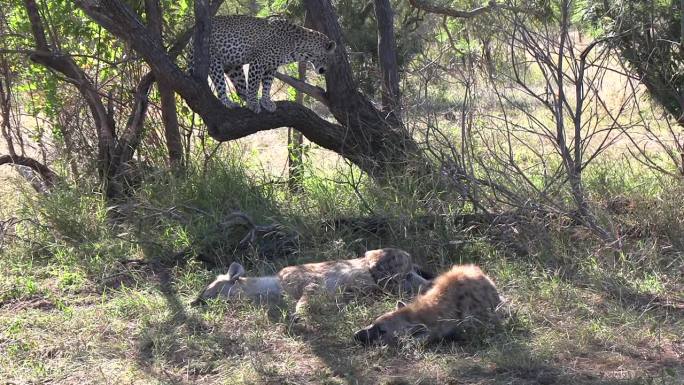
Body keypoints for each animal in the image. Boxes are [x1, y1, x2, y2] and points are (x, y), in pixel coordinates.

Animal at [190, 14, 334, 112]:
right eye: (328, 59)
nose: (325, 70)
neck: (300, 49)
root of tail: (192, 38)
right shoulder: (258, 62)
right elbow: (254, 85)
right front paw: (254, 103)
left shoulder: (271, 67)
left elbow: (267, 85)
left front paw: (265, 101)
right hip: (214, 61)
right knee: (221, 87)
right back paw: (230, 103)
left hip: (234, 68)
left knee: (240, 90)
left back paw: (247, 98)